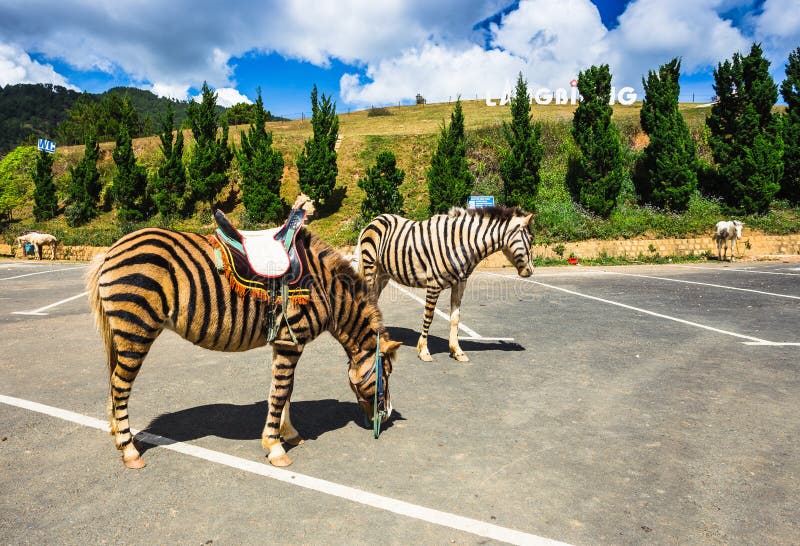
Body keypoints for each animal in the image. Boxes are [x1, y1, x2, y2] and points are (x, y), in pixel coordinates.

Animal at [86, 223, 401, 469]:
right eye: (386, 375)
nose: (385, 419)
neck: (321, 289)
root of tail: (111, 250)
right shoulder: (290, 340)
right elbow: (280, 392)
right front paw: (275, 447)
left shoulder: (285, 342)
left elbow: (286, 390)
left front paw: (288, 433)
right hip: (136, 329)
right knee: (120, 385)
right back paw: (129, 449)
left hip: (122, 332)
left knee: (114, 381)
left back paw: (117, 433)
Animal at [357, 206, 533, 362]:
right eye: (531, 239)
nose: (531, 271)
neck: (461, 244)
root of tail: (376, 219)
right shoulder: (433, 285)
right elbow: (428, 317)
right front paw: (423, 351)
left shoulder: (460, 284)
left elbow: (455, 318)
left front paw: (457, 351)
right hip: (370, 267)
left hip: (383, 274)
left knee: (374, 300)